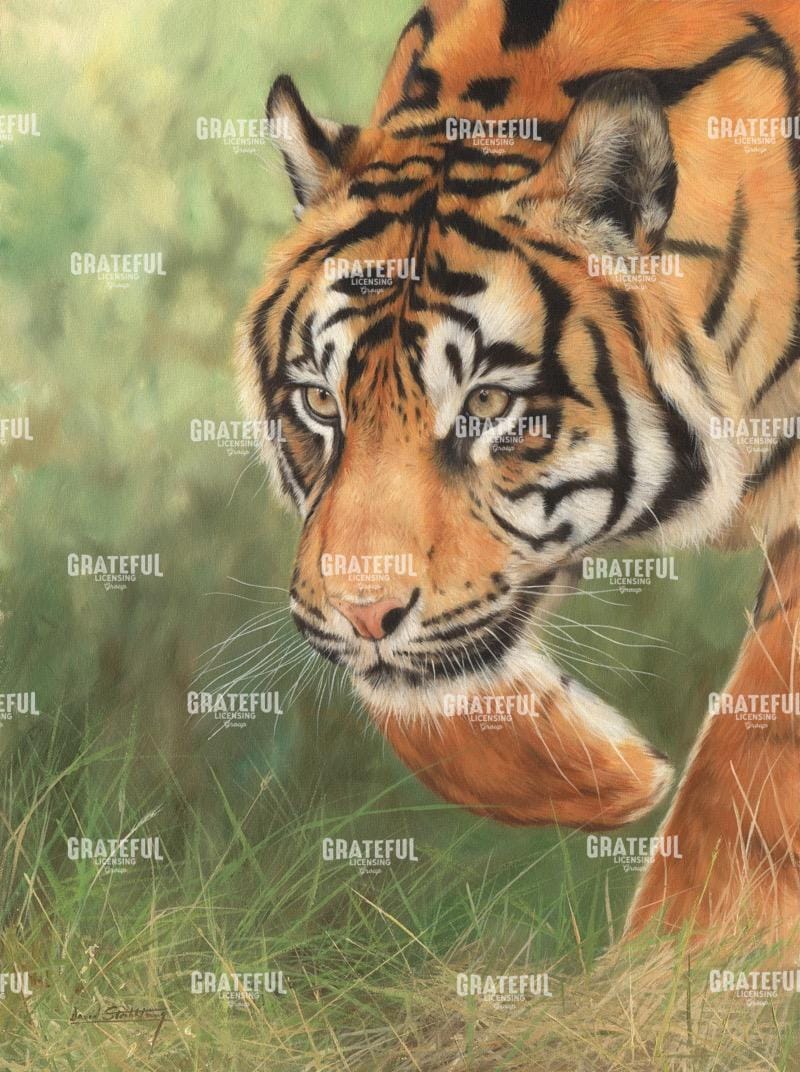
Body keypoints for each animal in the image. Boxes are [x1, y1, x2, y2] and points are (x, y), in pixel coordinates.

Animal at [238, 0, 800, 945]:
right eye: (320, 402)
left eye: (489, 403)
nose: (365, 615)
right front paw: (614, 778)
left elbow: (753, 761)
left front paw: (678, 964)